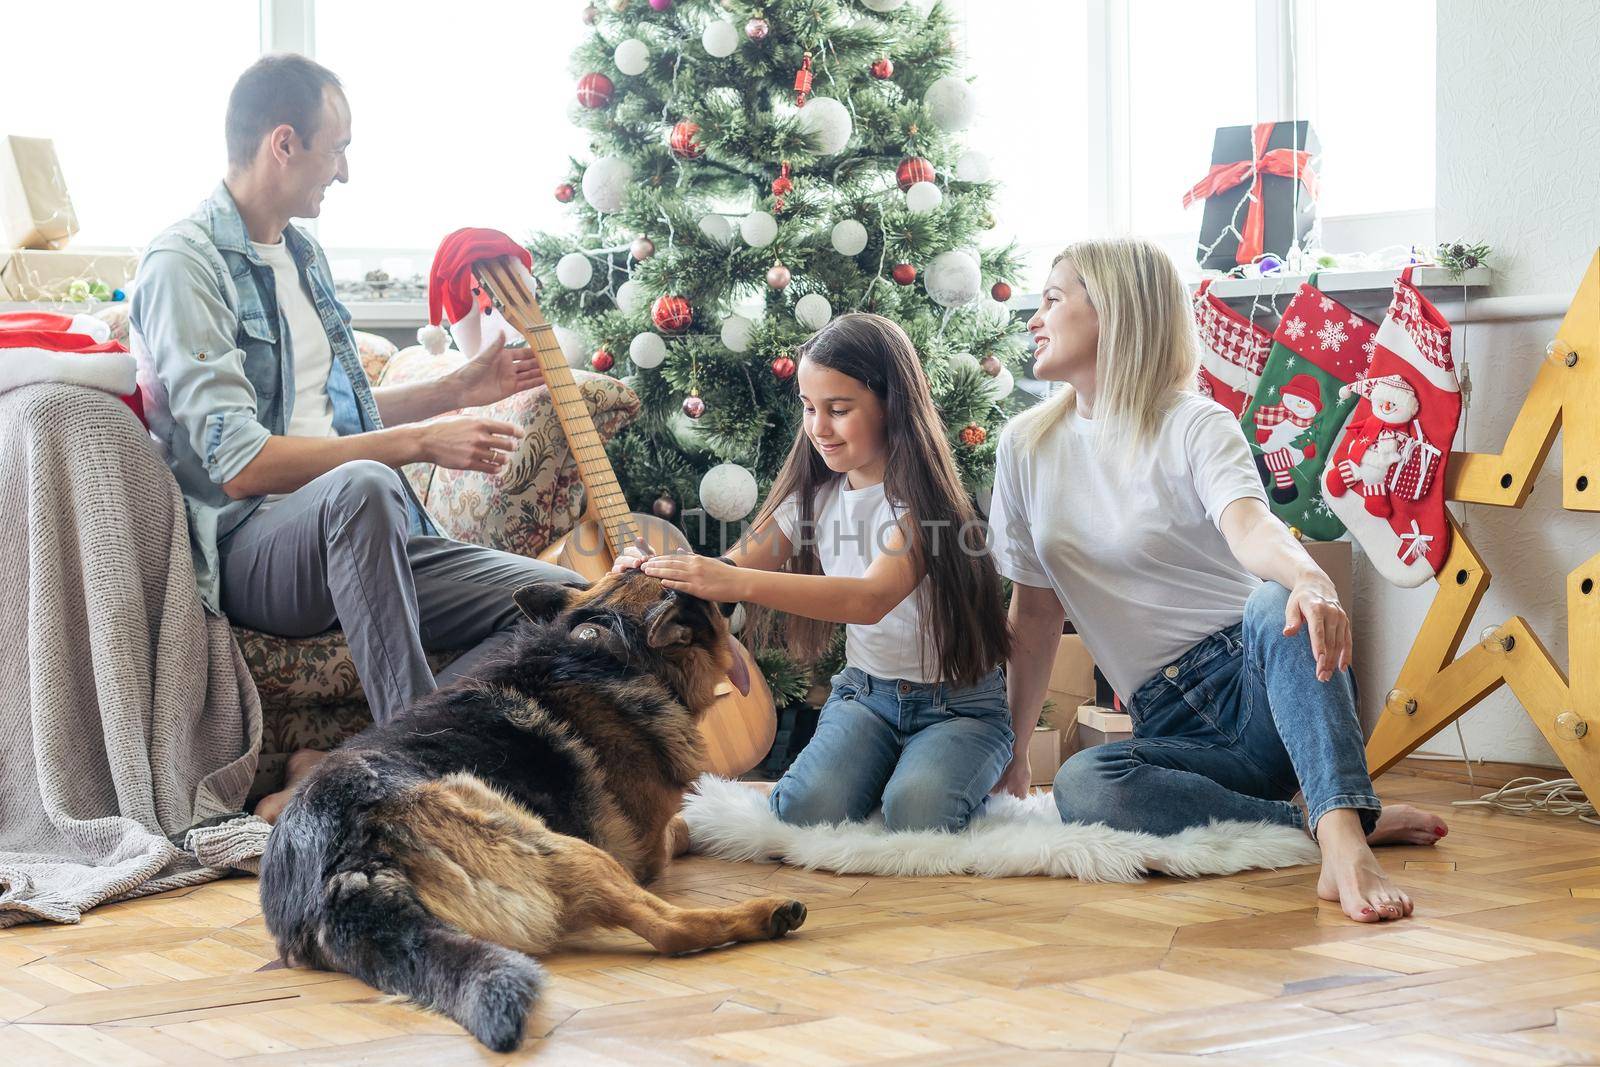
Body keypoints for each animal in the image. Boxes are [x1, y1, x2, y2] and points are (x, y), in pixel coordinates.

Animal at [267, 575, 812, 1049]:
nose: (730, 574)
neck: (610, 643)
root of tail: (347, 870)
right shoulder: (648, 850)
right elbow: (682, 827)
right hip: (570, 851)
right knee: (670, 929)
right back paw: (765, 915)